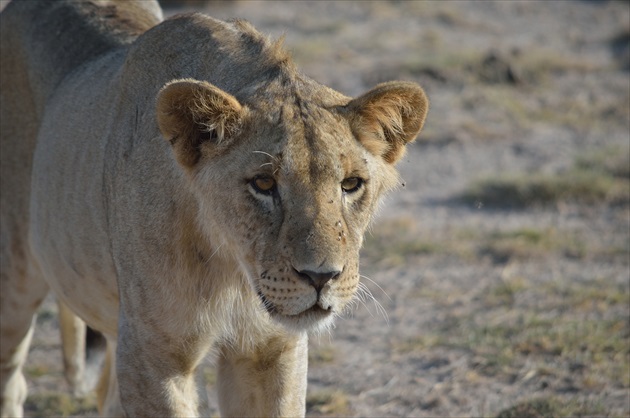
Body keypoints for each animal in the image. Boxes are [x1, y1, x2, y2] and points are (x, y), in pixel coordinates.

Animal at [0, 0, 430, 414]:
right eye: (264, 183)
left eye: (351, 184)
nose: (321, 277)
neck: (231, 270)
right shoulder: (153, 355)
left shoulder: (272, 349)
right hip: (15, 282)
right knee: (12, 381)